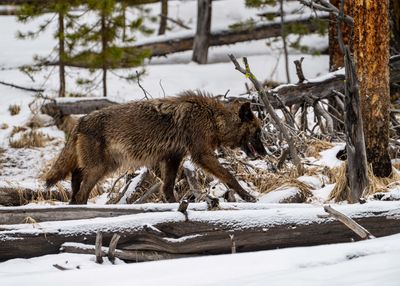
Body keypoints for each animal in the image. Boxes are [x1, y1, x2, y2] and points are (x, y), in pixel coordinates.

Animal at [45, 90, 268, 204]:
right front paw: (248, 196)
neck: (213, 119)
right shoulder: (202, 155)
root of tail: (80, 121)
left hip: (107, 166)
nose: (265, 153)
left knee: (75, 179)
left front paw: (174, 204)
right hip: (100, 169)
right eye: (258, 132)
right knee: (81, 193)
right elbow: (229, 176)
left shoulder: (173, 157)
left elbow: (167, 187)